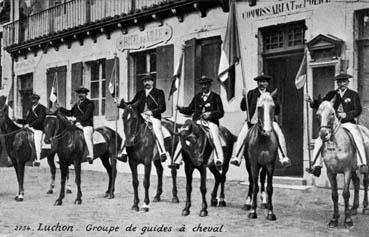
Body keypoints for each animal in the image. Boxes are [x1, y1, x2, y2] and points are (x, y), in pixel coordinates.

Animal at [244, 92, 278, 220]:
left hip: (263, 165)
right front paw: (253, 211)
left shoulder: (270, 164)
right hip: (248, 164)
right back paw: (247, 203)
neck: (263, 140)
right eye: (259, 107)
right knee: (251, 181)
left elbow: (269, 187)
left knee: (262, 179)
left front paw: (270, 212)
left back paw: (264, 202)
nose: (267, 131)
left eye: (273, 106)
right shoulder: (254, 164)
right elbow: (255, 186)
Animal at [314, 100, 368, 228]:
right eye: (318, 114)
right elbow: (334, 195)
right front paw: (334, 219)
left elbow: (346, 193)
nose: (323, 134)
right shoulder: (330, 172)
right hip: (354, 169)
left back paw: (365, 207)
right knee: (357, 183)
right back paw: (354, 208)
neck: (334, 145)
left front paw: (347, 220)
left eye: (332, 114)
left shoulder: (346, 170)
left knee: (365, 183)